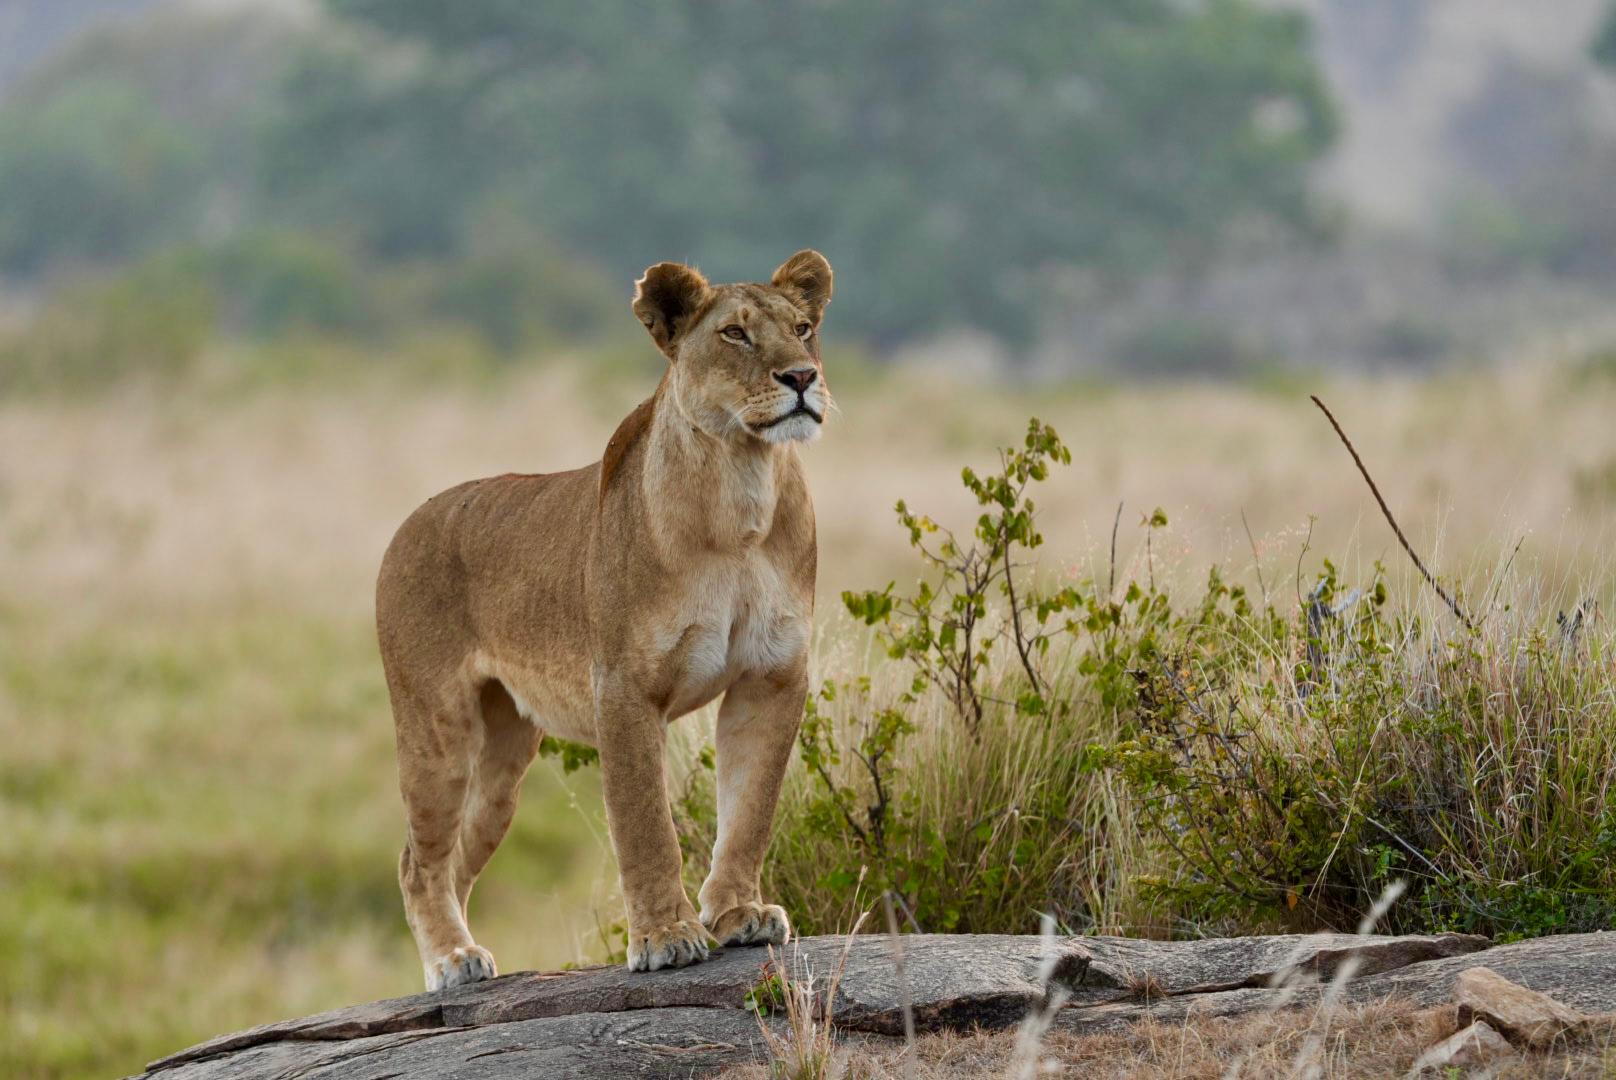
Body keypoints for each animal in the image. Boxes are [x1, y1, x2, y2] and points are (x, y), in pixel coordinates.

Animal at [376, 250, 833, 989]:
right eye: (735, 334)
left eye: (803, 329)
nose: (801, 377)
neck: (741, 487)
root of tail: (410, 521)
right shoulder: (624, 686)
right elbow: (645, 822)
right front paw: (666, 938)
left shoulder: (772, 676)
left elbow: (750, 808)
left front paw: (740, 915)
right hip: (437, 729)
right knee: (418, 861)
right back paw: (452, 960)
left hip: (503, 765)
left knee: (457, 859)